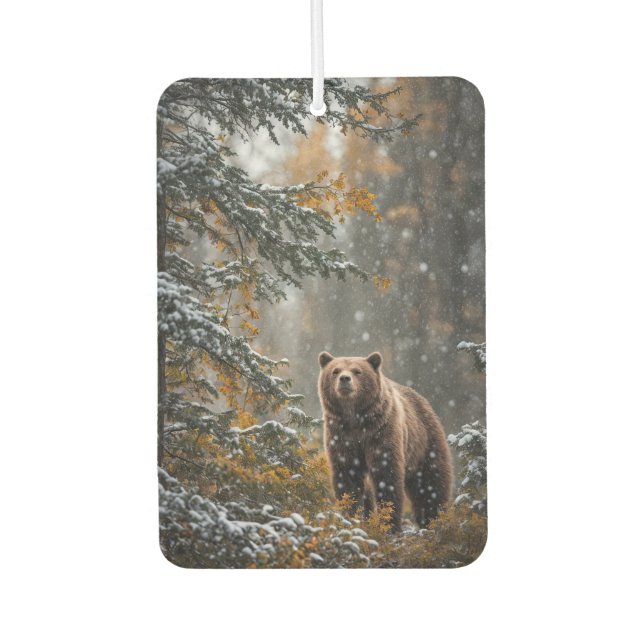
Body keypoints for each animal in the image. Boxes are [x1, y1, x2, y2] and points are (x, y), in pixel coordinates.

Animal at [318, 351, 453, 531]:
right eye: (335, 371)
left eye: (357, 371)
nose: (345, 379)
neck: (355, 419)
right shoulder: (341, 436)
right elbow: (347, 477)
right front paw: (350, 516)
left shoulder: (381, 431)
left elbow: (386, 473)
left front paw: (390, 523)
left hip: (424, 443)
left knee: (431, 483)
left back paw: (434, 520)